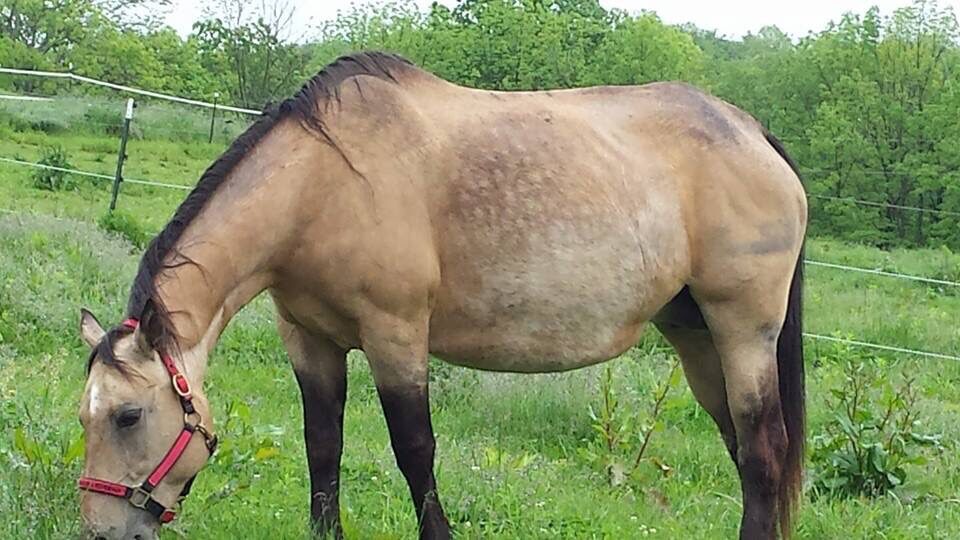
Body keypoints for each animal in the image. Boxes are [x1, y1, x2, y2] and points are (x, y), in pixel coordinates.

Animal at [76, 52, 806, 540]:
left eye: (128, 417)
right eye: (86, 417)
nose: (100, 530)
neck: (324, 186)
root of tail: (753, 133)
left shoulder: (396, 333)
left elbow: (415, 448)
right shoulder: (308, 338)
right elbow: (323, 444)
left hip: (743, 330)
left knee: (763, 450)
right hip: (695, 335)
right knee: (743, 449)